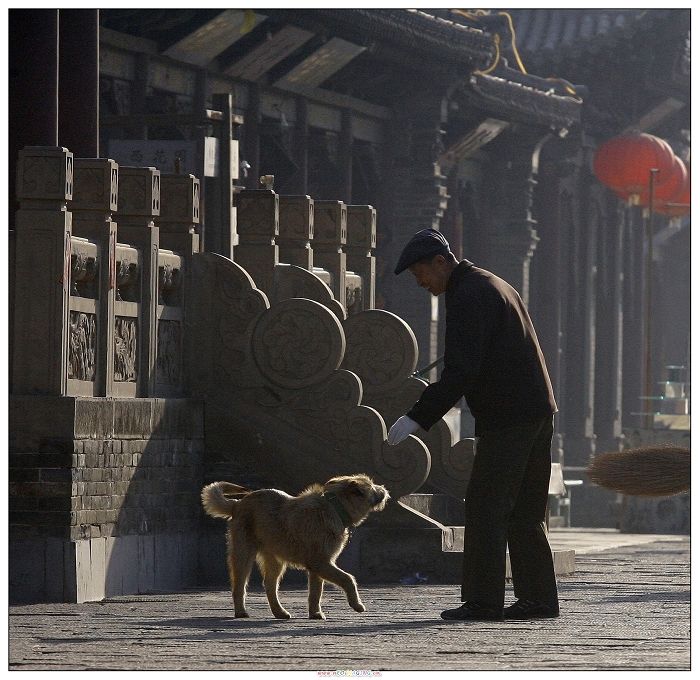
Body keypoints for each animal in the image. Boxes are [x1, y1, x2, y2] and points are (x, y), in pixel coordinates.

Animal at [201, 476, 388, 620]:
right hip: (243, 553)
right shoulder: (321, 563)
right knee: (239, 585)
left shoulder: (318, 566)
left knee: (270, 585)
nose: (384, 489)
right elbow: (347, 578)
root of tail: (237, 504)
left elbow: (315, 592)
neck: (334, 508)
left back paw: (280, 612)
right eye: (371, 485)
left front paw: (315, 613)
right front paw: (356, 604)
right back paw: (241, 612)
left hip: (275, 559)